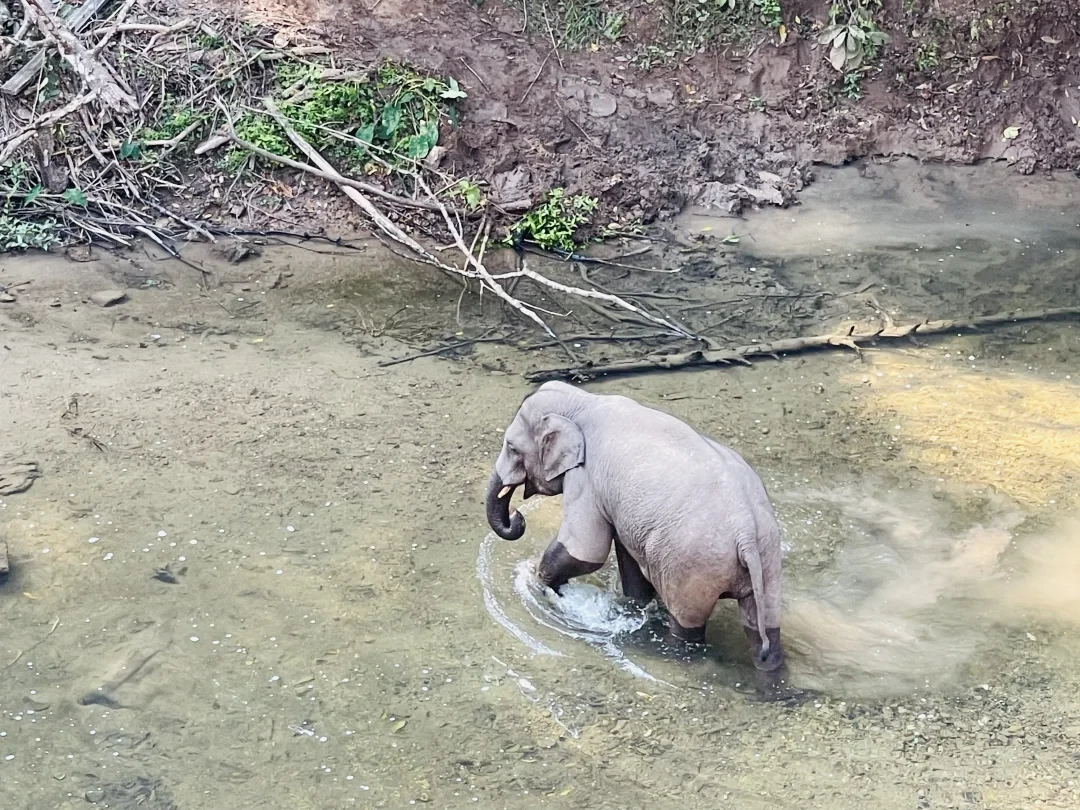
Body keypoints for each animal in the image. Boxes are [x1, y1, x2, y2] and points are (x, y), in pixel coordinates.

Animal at [485, 380, 791, 699]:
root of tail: (746, 531)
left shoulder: (586, 478)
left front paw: (540, 582)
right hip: (767, 559)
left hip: (692, 569)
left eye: (511, 447)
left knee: (688, 629)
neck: (583, 401)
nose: (518, 517)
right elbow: (626, 557)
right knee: (764, 630)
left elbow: (587, 551)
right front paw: (633, 604)